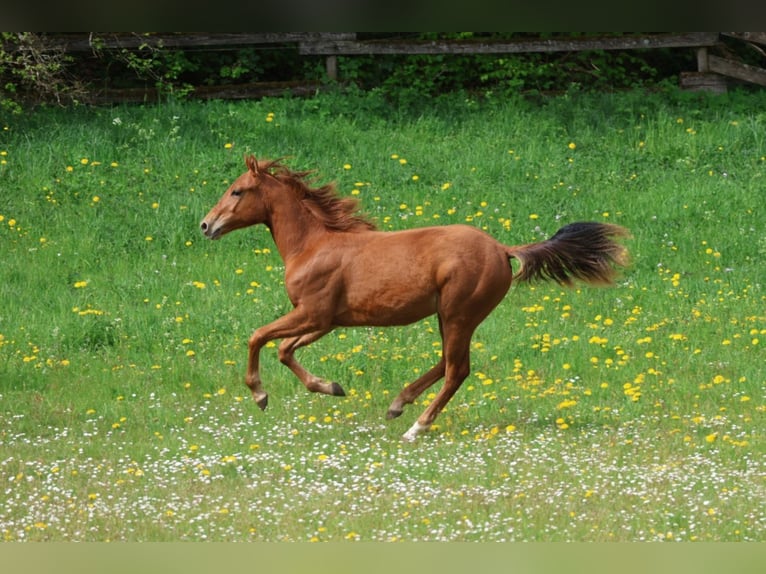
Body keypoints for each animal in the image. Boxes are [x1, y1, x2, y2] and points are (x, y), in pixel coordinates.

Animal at [200, 155, 630, 441]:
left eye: (237, 190)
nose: (206, 225)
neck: (313, 245)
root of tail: (503, 249)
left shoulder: (313, 314)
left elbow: (257, 337)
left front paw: (260, 395)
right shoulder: (325, 321)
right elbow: (284, 350)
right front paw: (332, 387)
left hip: (458, 314)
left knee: (457, 370)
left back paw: (416, 426)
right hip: (449, 316)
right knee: (447, 363)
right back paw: (398, 403)